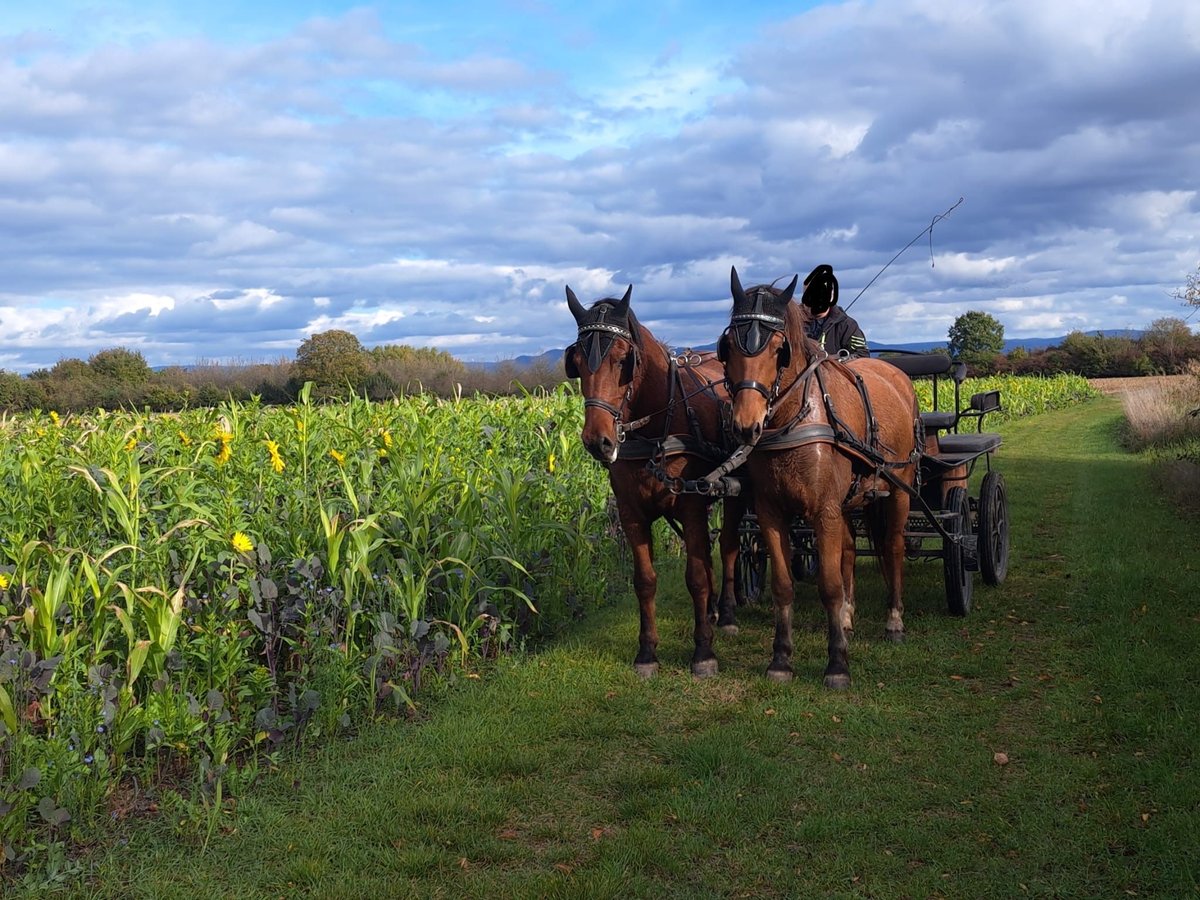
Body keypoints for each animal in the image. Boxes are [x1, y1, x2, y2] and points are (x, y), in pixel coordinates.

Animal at [566, 285, 744, 681]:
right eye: (578, 363)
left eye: (623, 360)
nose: (598, 441)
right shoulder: (632, 513)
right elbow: (645, 581)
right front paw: (647, 652)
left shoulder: (691, 506)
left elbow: (695, 576)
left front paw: (703, 651)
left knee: (727, 546)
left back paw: (725, 612)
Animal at [720, 267, 916, 691]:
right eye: (727, 346)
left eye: (780, 348)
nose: (745, 425)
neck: (794, 416)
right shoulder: (771, 513)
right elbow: (784, 585)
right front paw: (781, 659)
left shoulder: (824, 511)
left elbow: (827, 585)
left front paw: (837, 664)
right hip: (849, 502)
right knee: (848, 550)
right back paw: (848, 615)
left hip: (898, 489)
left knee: (892, 547)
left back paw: (894, 621)